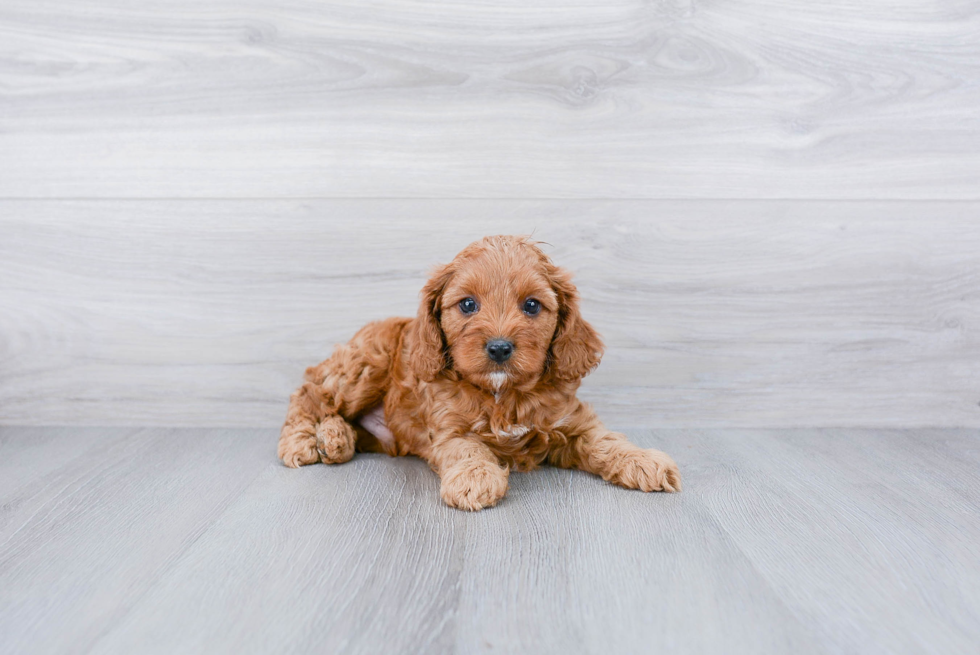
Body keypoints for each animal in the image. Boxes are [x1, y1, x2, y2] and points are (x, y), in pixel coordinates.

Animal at [278, 236, 680, 512]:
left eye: (532, 305)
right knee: (310, 393)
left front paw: (642, 460)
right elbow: (468, 449)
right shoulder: (448, 428)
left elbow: (605, 440)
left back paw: (336, 438)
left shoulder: (573, 422)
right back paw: (304, 440)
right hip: (364, 365)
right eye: (468, 304)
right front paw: (475, 478)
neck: (504, 396)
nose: (499, 348)